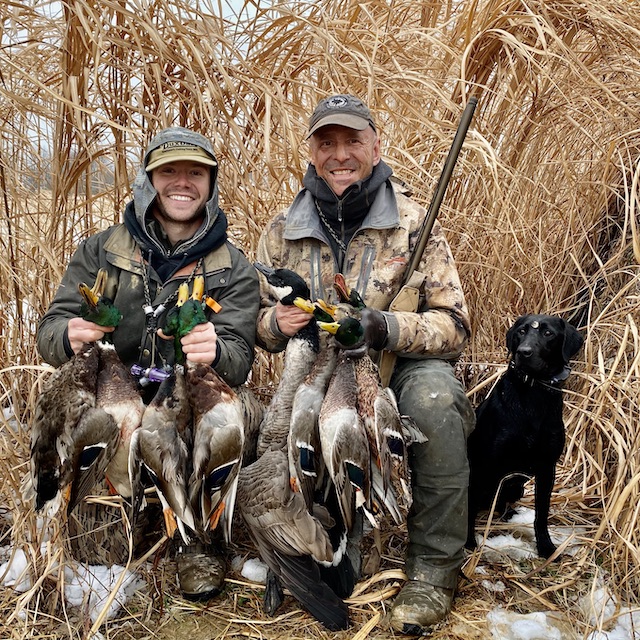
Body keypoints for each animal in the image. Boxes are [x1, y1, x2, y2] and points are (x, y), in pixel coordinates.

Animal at [464, 316, 584, 560]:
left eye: (548, 333)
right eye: (521, 331)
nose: (523, 352)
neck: (533, 396)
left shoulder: (547, 468)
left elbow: (541, 514)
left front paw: (546, 547)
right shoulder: (485, 464)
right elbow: (469, 510)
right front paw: (469, 543)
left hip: (515, 486)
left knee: (500, 502)